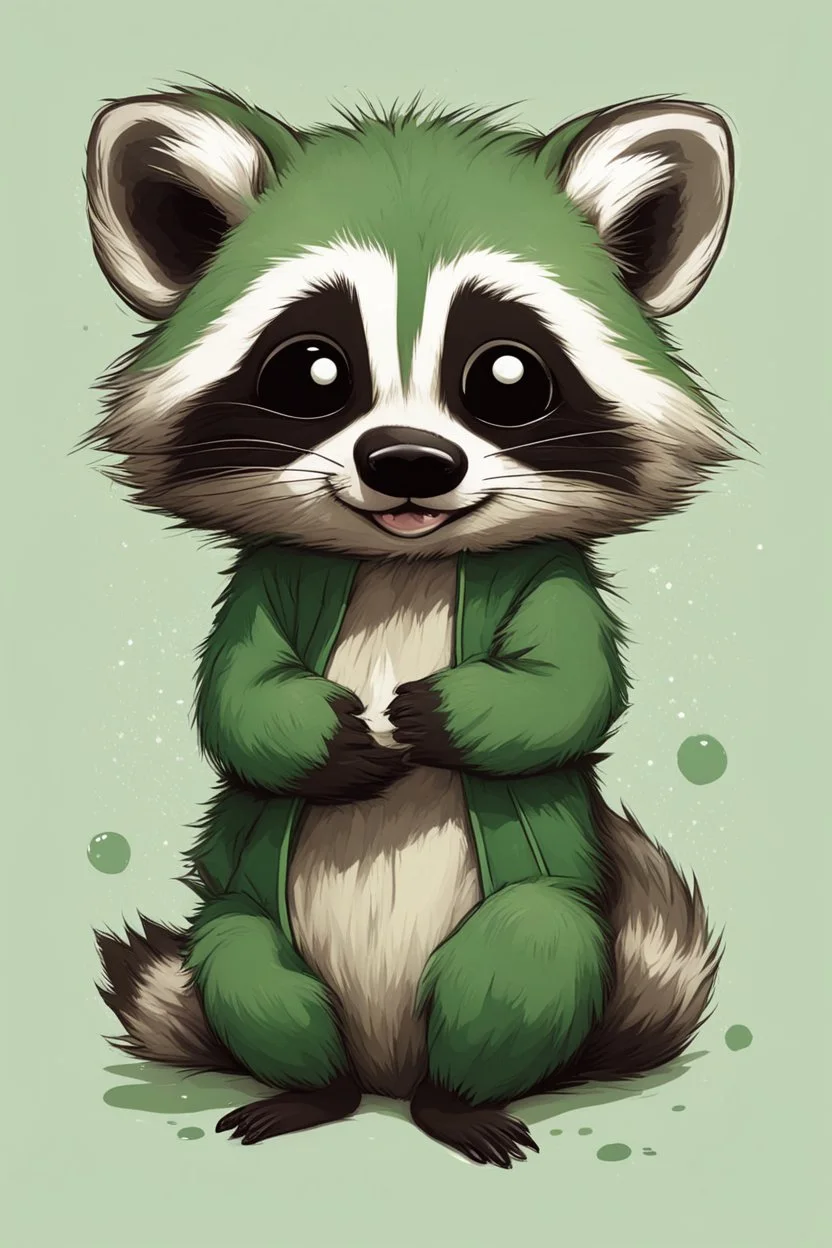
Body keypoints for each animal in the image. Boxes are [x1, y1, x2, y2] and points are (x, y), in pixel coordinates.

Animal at [86, 85, 735, 1167]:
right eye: (310, 371)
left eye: (508, 377)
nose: (408, 463)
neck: (403, 566)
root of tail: (387, 1062)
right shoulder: (269, 576)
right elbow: (234, 690)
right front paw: (324, 733)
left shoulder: (552, 572)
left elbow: (573, 684)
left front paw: (446, 712)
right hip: (251, 933)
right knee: (244, 963)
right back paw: (312, 1090)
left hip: (546, 943)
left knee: (528, 951)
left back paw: (457, 1100)